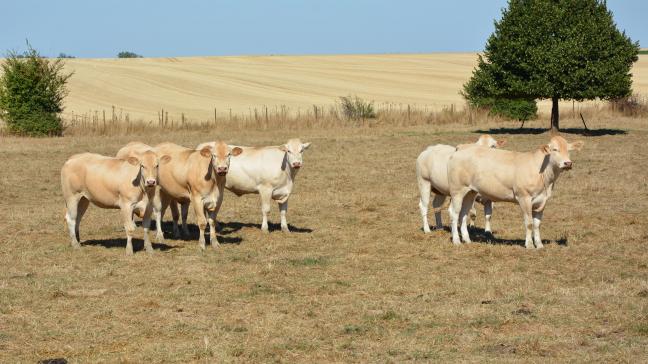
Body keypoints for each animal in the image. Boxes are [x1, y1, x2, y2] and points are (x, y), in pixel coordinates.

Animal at [448, 135, 584, 249]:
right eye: (555, 149)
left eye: (569, 150)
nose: (568, 163)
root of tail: (459, 150)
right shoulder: (524, 197)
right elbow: (529, 223)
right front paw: (529, 245)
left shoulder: (542, 201)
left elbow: (537, 224)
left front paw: (539, 244)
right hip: (457, 191)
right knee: (455, 213)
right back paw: (456, 240)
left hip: (470, 192)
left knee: (464, 214)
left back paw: (467, 239)